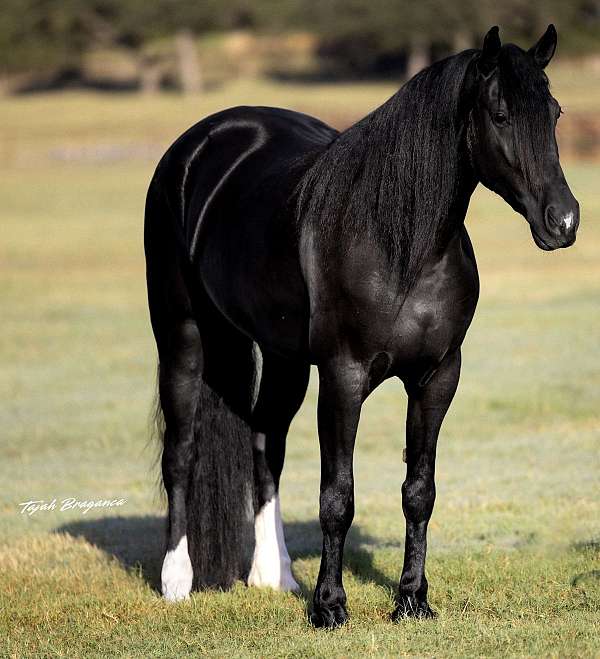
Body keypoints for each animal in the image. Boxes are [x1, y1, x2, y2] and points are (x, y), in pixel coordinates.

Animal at [144, 24, 579, 627]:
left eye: (554, 113)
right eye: (499, 114)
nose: (564, 221)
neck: (402, 248)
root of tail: (196, 147)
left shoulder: (437, 379)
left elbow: (419, 491)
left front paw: (412, 600)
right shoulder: (343, 379)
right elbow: (337, 496)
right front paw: (330, 607)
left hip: (282, 359)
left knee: (265, 446)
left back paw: (273, 576)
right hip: (183, 336)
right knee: (181, 453)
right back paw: (177, 581)